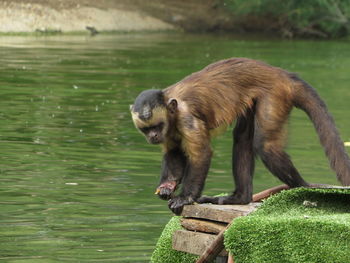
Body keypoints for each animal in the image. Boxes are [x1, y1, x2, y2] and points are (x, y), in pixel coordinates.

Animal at [129, 58, 350, 217]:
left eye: (157, 126)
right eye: (146, 129)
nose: (153, 136)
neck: (172, 113)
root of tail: (282, 74)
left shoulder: (186, 119)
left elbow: (201, 154)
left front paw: (186, 197)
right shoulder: (171, 130)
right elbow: (174, 153)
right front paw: (167, 187)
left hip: (275, 93)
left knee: (265, 146)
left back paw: (302, 188)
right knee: (242, 138)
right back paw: (241, 198)